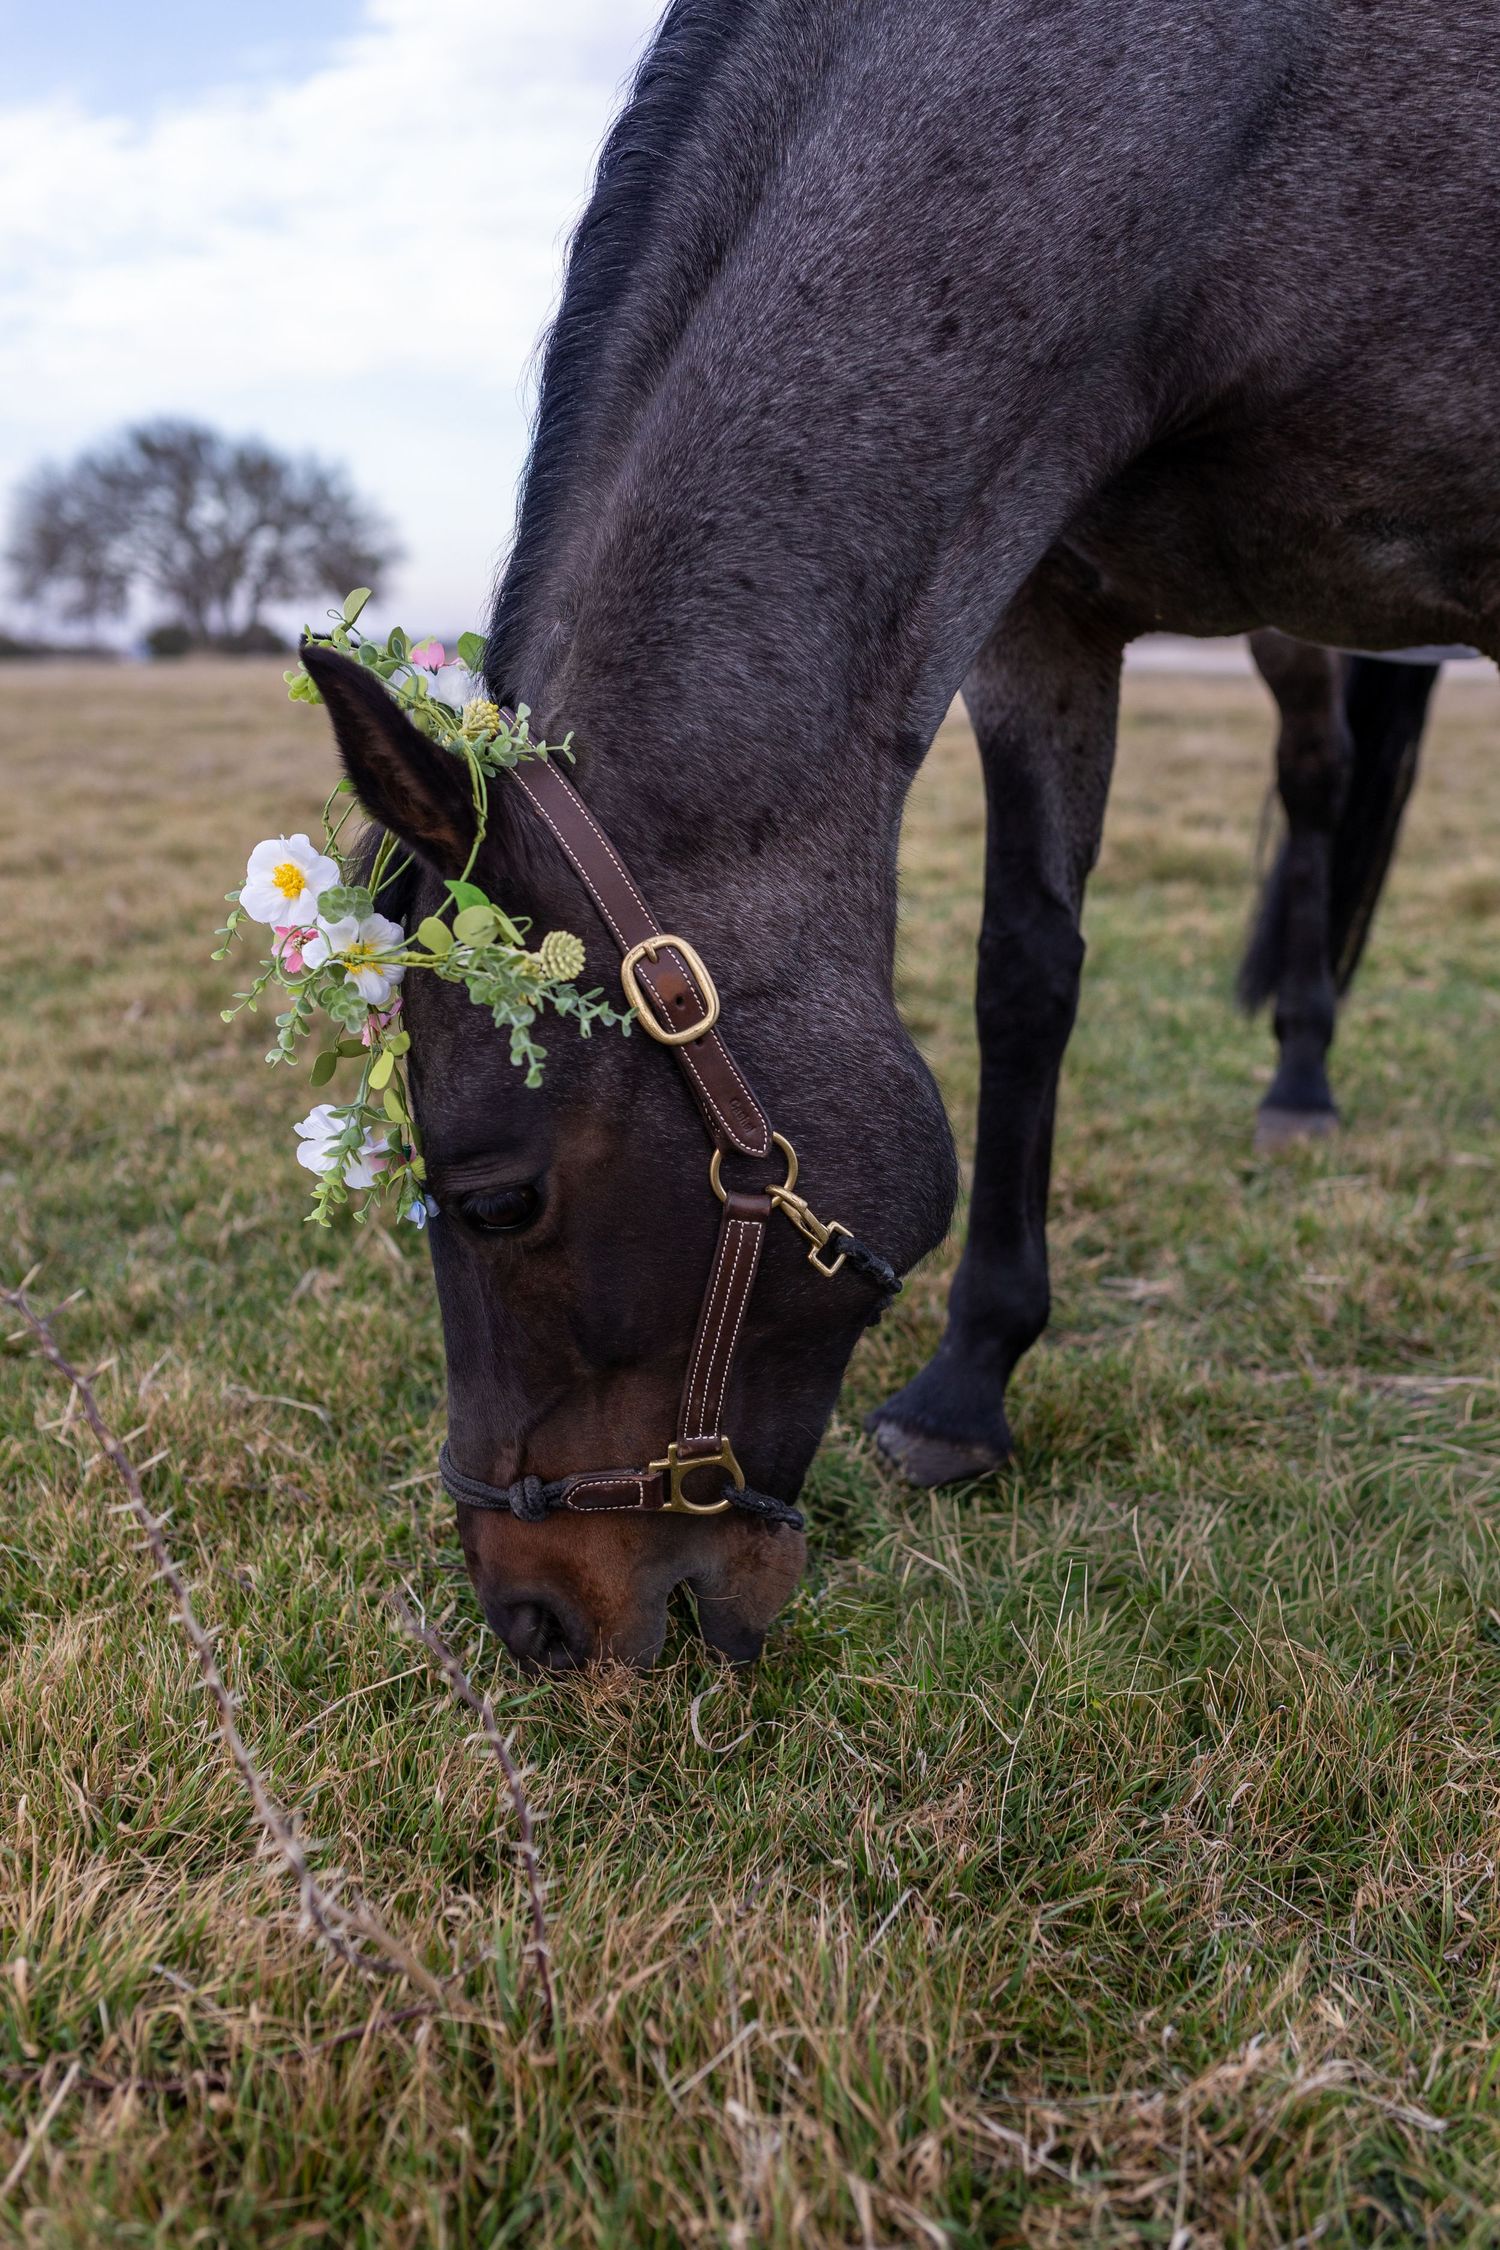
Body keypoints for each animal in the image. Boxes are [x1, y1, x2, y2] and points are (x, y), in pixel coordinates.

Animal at [304, 0, 1500, 1664]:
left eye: (494, 1197)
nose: (532, 1618)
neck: (1222, 139)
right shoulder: (1044, 614)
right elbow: (1025, 974)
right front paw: (966, 1387)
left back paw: (1306, 1079)